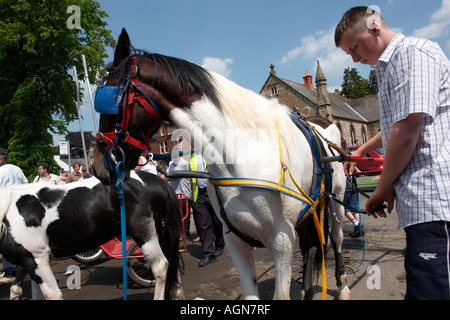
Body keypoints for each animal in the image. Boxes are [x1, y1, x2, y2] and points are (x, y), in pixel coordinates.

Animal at [0, 171, 184, 298]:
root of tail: (158, 179)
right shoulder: (29, 260)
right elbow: (20, 290)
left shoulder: (37, 259)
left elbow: (51, 294)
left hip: (144, 231)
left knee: (160, 266)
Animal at [92, 29, 352, 300]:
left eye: (108, 100)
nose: (97, 165)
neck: (242, 154)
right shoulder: (235, 238)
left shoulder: (281, 239)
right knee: (311, 246)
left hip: (335, 201)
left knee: (335, 237)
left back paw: (342, 284)